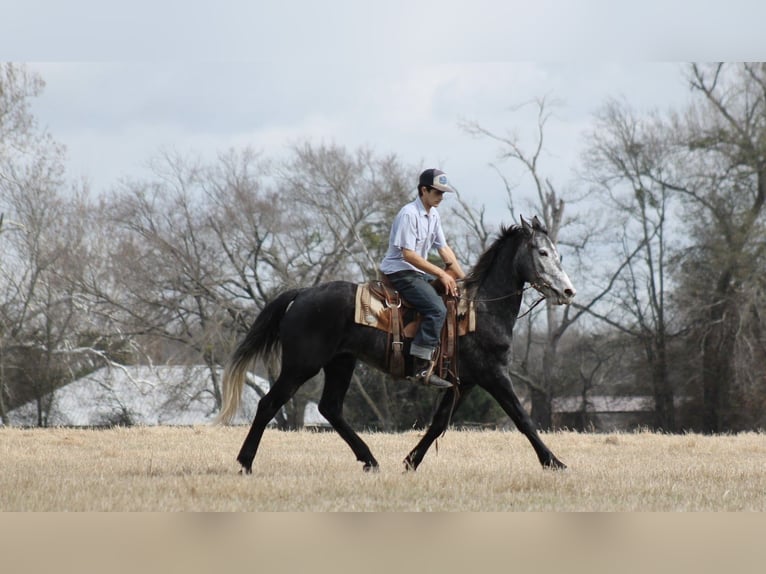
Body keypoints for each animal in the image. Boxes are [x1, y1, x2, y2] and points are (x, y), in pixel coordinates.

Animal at [217, 215, 576, 474]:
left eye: (558, 253)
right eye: (542, 253)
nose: (568, 292)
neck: (481, 308)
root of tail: (302, 293)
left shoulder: (464, 381)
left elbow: (438, 423)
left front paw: (410, 462)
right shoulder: (494, 375)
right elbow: (523, 419)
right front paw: (555, 462)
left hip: (341, 363)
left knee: (330, 408)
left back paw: (370, 460)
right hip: (301, 365)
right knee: (269, 404)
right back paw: (245, 463)